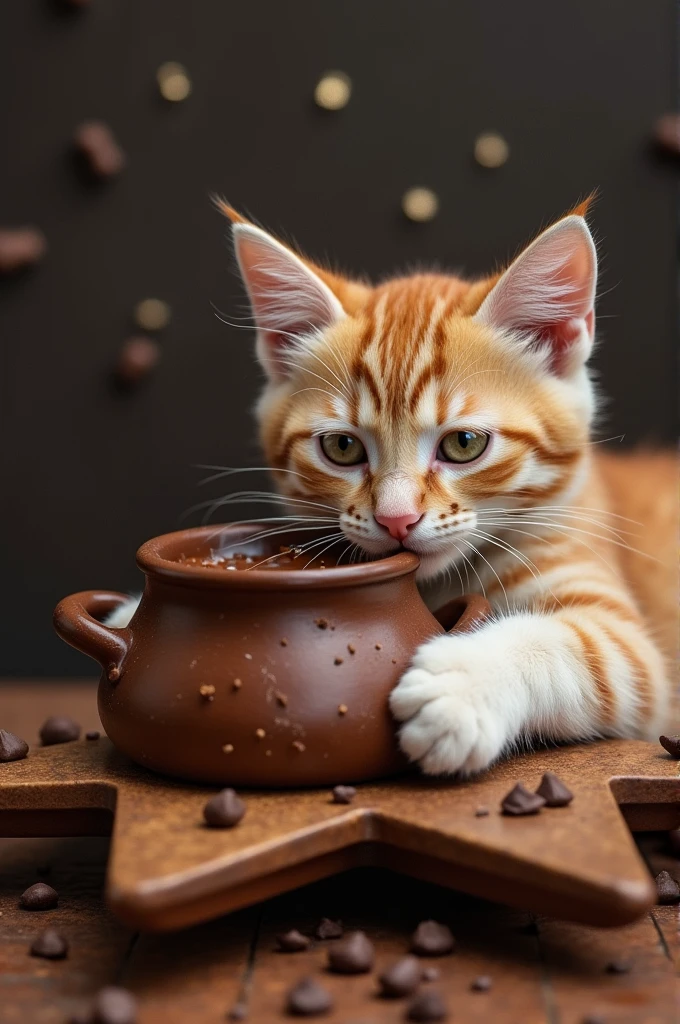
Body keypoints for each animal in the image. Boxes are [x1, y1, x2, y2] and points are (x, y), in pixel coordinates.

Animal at [109, 197, 675, 774]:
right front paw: (132, 615)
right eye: (342, 448)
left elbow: (582, 649)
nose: (396, 518)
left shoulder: (632, 650)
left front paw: (463, 686)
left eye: (464, 444)